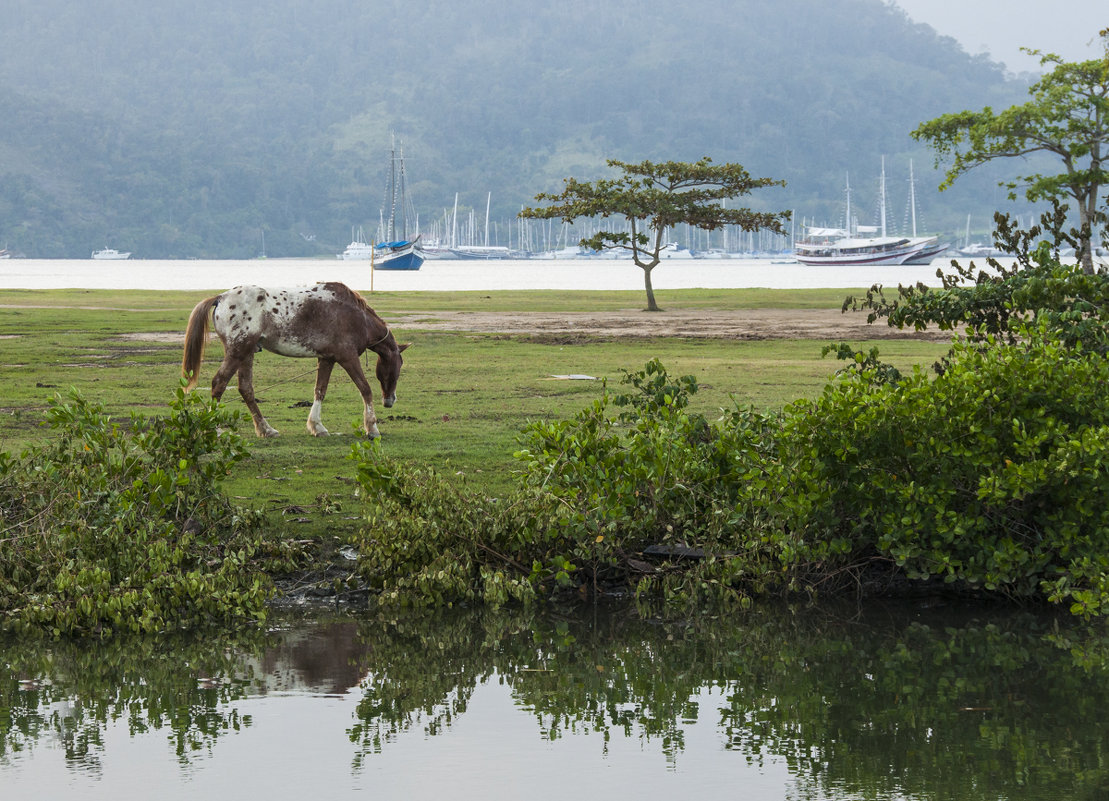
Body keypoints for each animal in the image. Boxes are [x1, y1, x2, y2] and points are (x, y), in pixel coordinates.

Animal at [179, 280, 410, 437]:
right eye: (398, 366)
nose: (390, 400)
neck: (356, 316)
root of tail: (221, 297)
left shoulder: (327, 359)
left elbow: (320, 390)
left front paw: (317, 426)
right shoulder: (348, 358)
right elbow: (365, 389)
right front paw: (372, 427)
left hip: (246, 353)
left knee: (245, 389)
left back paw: (266, 429)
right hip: (237, 351)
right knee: (219, 384)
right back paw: (216, 429)